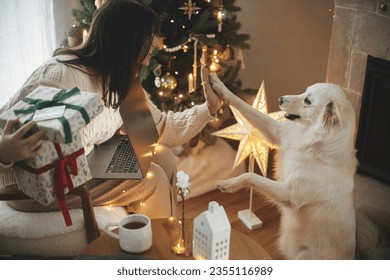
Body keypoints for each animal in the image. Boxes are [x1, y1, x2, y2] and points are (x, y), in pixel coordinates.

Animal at [210, 74, 360, 258]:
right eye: (305, 90)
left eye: (307, 100)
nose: (280, 99)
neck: (316, 143)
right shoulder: (278, 132)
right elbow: (244, 105)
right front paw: (219, 85)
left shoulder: (288, 193)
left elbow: (250, 176)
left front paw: (228, 184)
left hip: (304, 255)